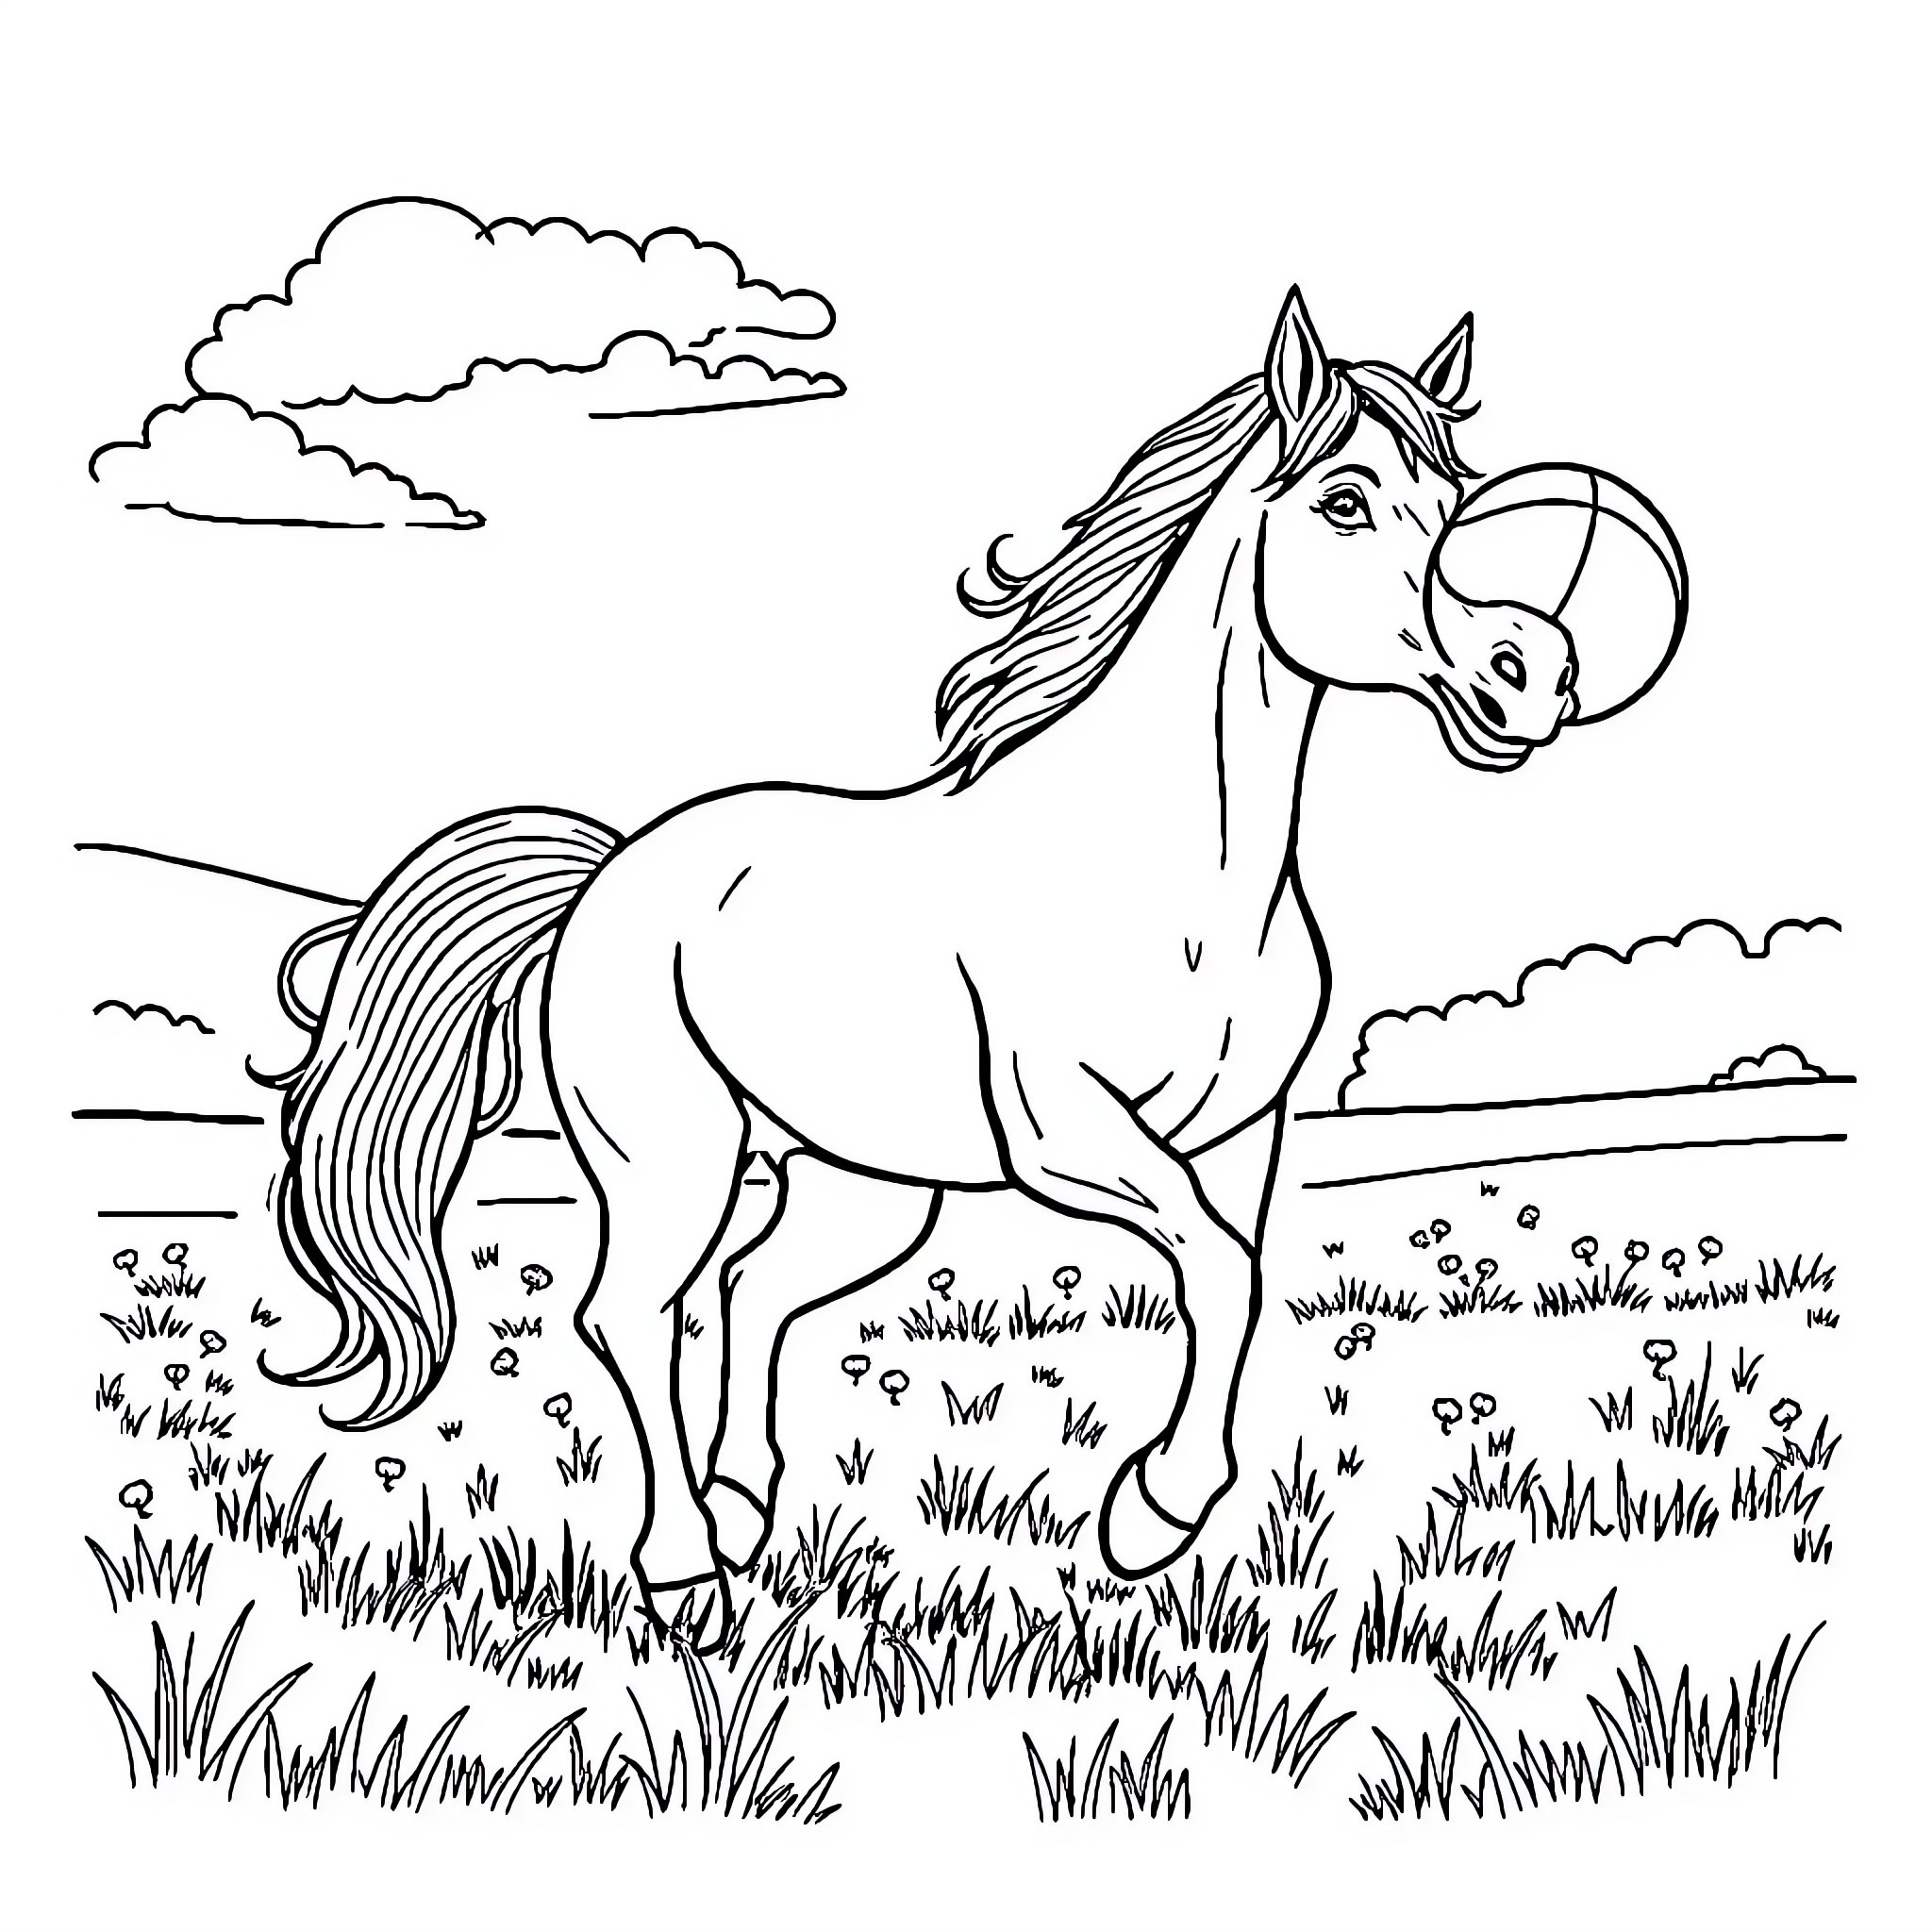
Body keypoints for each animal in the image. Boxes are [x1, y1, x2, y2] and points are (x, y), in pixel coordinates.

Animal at [264, 284, 1658, 1650]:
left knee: (756, 1291)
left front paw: (1153, 1515)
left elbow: (1241, 1279)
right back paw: (686, 1578)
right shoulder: (1068, 1135)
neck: (1180, 872)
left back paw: (741, 1511)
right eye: (1346, 501)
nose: (1529, 677)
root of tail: (610, 872)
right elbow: (1219, 1267)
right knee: (629, 1313)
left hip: (864, 1184)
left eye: (1459, 504)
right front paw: (1148, 1511)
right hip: (673, 1156)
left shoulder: (1237, 1134)